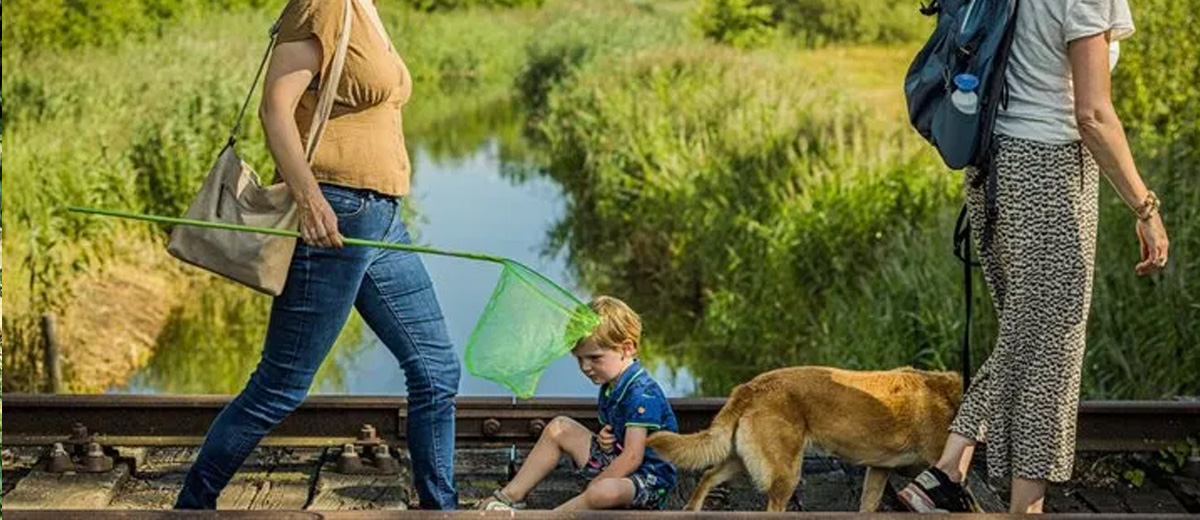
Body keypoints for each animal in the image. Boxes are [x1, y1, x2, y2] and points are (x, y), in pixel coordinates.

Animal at [643, 365, 960, 511]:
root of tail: (750, 387)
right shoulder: (942, 461)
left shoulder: (878, 471)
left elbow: (868, 505)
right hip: (786, 474)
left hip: (740, 459)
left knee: (708, 474)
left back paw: (692, 509)